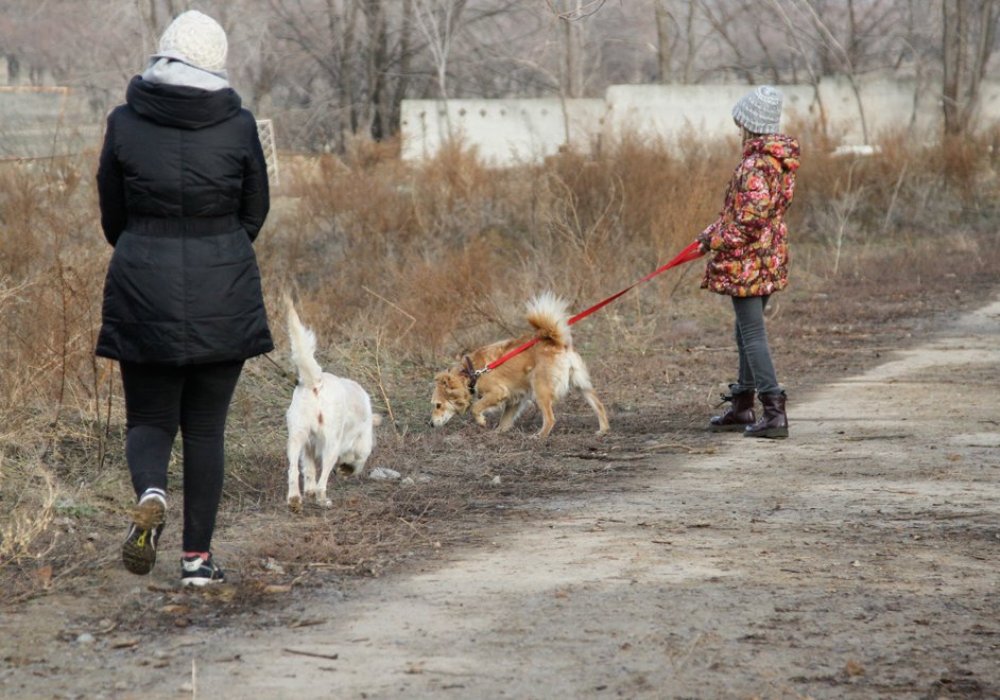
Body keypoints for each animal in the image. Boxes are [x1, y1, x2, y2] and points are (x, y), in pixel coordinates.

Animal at [286, 292, 378, 512]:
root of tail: (316, 383)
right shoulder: (362, 443)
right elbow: (358, 462)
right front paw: (347, 469)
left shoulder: (308, 446)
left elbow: (308, 471)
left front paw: (308, 492)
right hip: (332, 444)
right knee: (322, 482)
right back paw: (323, 500)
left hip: (296, 436)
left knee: (293, 471)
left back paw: (294, 499)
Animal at [430, 294, 608, 438]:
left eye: (438, 405)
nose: (430, 424)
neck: (471, 372)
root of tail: (557, 343)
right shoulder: (514, 399)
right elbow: (505, 420)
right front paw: (498, 432)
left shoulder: (498, 392)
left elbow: (476, 407)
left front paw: (481, 421)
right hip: (582, 385)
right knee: (599, 406)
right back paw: (603, 430)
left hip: (540, 390)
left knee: (550, 419)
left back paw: (539, 436)